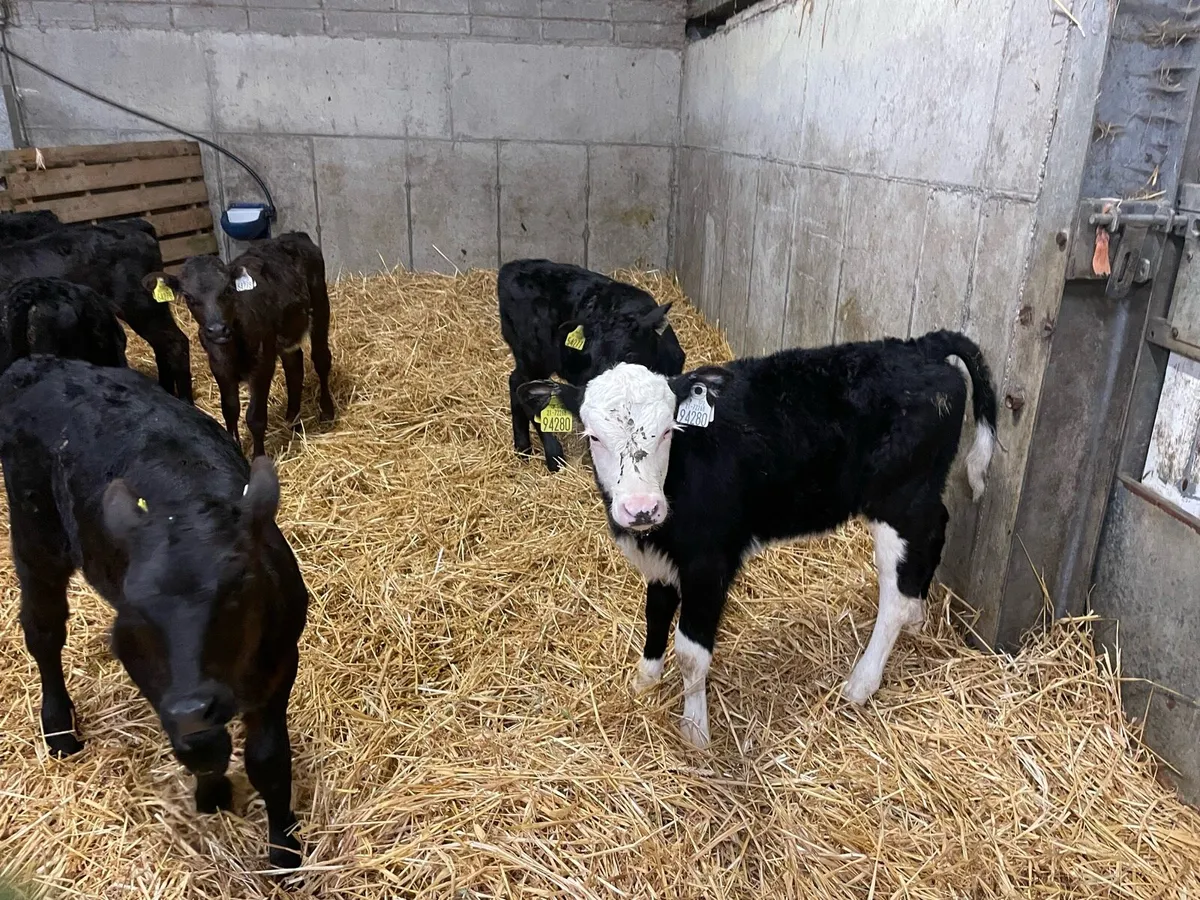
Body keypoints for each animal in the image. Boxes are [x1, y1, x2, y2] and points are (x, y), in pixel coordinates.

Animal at [0, 357, 310, 869]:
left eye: (239, 587)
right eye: (136, 608)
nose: (191, 708)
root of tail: (38, 364)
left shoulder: (281, 659)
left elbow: (269, 760)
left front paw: (285, 854)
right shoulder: (144, 666)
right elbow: (198, 747)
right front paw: (212, 794)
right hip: (35, 535)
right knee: (43, 631)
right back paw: (59, 729)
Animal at [146, 232, 335, 459]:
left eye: (228, 290)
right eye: (189, 297)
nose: (217, 330)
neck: (233, 346)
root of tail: (293, 235)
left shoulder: (262, 364)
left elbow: (255, 418)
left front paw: (258, 456)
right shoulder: (218, 365)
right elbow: (229, 409)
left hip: (320, 305)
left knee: (321, 359)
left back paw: (326, 412)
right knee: (294, 367)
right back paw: (292, 419)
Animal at [498, 259, 685, 472]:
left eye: (629, 353)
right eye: (592, 355)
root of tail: (510, 267)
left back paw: (523, 449)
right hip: (533, 357)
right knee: (523, 387)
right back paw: (552, 456)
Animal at [517, 330, 998, 748]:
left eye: (670, 430)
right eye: (593, 436)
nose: (640, 508)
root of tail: (922, 345)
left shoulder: (710, 562)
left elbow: (691, 653)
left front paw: (696, 733)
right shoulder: (661, 560)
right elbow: (655, 615)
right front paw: (643, 683)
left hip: (897, 499)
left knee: (895, 588)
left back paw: (862, 681)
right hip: (922, 493)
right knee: (935, 532)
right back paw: (917, 617)